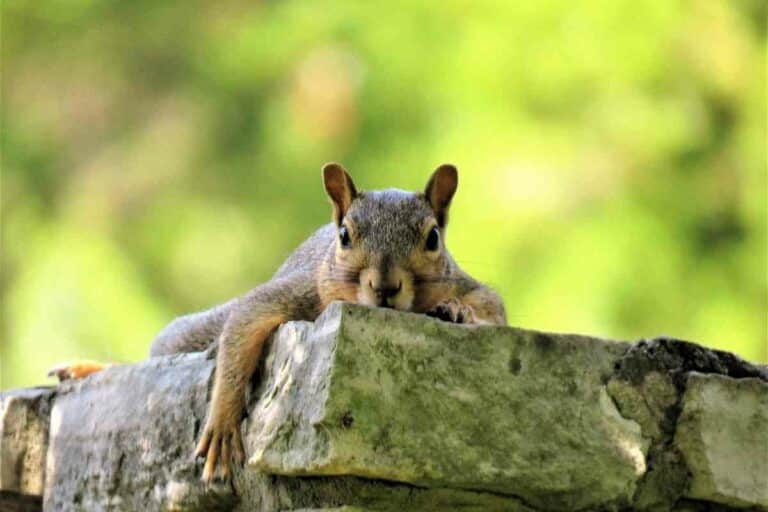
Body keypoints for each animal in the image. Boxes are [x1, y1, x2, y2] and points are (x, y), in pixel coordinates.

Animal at [49, 163, 507, 483]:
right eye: (344, 235)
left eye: (432, 238)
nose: (385, 286)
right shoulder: (301, 291)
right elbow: (245, 322)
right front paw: (222, 423)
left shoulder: (467, 284)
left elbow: (492, 308)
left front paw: (457, 311)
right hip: (185, 336)